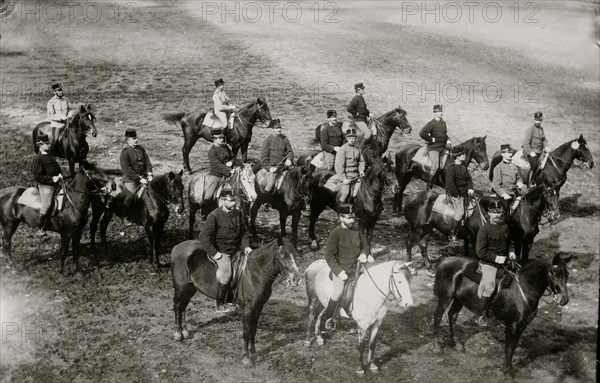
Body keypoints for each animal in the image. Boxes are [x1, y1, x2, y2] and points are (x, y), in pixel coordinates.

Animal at [170, 238, 302, 368]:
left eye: (295, 255)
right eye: (282, 256)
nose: (296, 279)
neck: (254, 273)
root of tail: (177, 247)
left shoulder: (258, 307)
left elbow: (253, 330)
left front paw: (254, 354)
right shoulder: (247, 308)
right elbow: (246, 332)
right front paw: (246, 358)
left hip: (190, 288)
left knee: (183, 307)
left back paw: (185, 332)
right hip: (181, 287)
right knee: (177, 306)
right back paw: (177, 334)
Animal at [432, 254, 572, 376]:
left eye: (567, 274)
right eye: (554, 273)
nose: (564, 300)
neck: (522, 290)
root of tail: (446, 260)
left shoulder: (521, 326)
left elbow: (512, 347)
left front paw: (508, 368)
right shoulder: (512, 325)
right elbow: (509, 348)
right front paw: (507, 372)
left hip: (459, 300)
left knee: (452, 316)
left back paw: (454, 344)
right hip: (445, 298)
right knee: (438, 316)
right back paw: (437, 346)